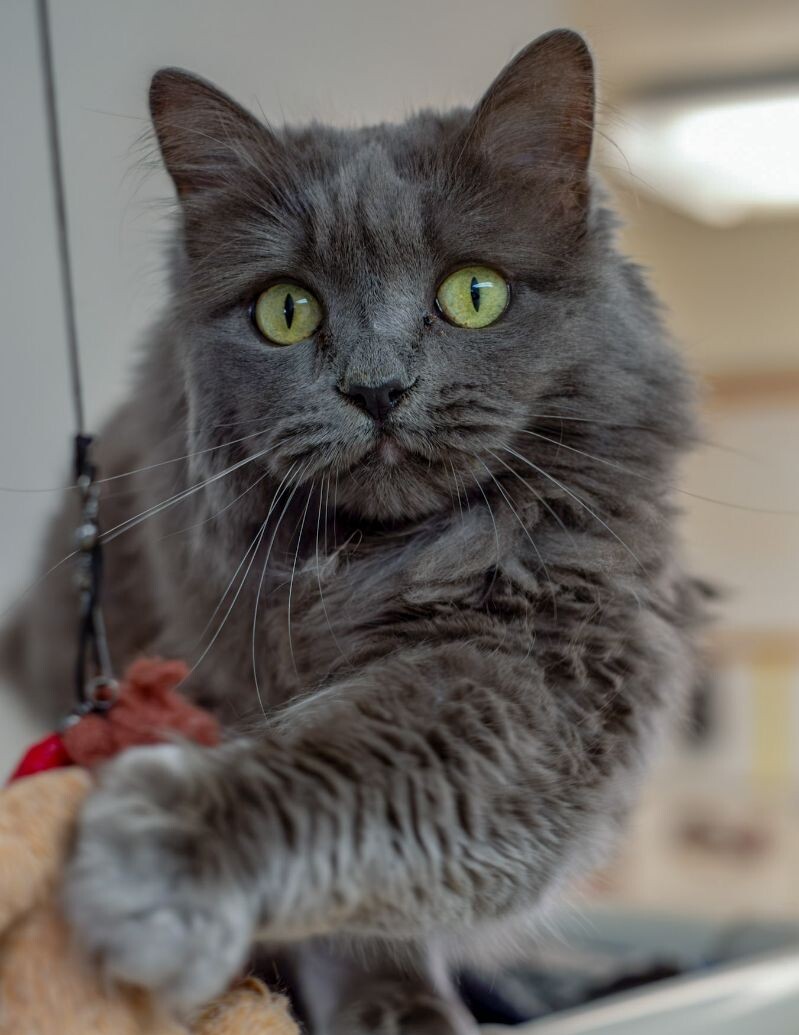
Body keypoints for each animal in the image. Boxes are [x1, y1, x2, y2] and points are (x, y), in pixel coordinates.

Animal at [4, 28, 703, 1030]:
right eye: (286, 310)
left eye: (475, 293)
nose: (377, 388)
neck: (370, 564)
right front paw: (377, 996)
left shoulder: (557, 655)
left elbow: (357, 774)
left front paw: (169, 854)